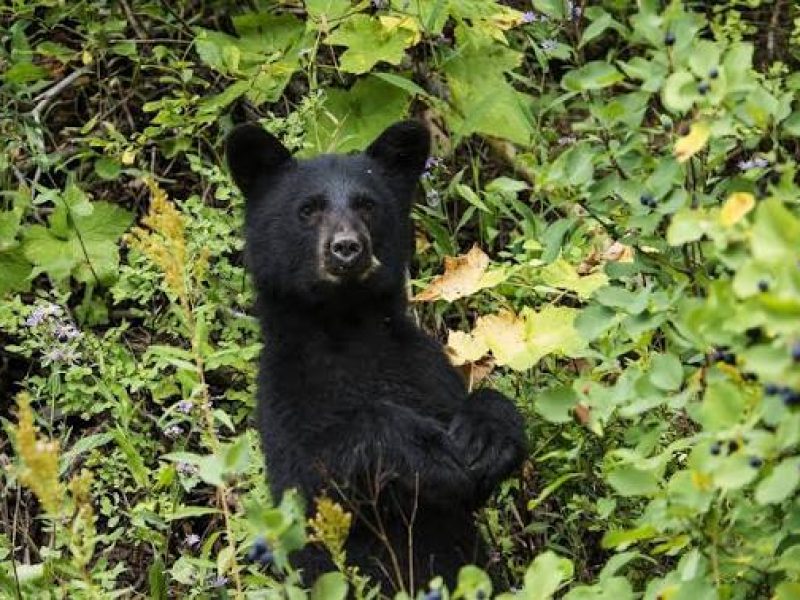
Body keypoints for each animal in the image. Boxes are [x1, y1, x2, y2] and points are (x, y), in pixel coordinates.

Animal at [225, 120, 526, 594]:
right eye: (308, 209)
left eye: (367, 205)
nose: (347, 248)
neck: (348, 327)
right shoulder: (286, 392)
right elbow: (314, 469)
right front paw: (425, 451)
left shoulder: (422, 366)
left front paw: (486, 436)